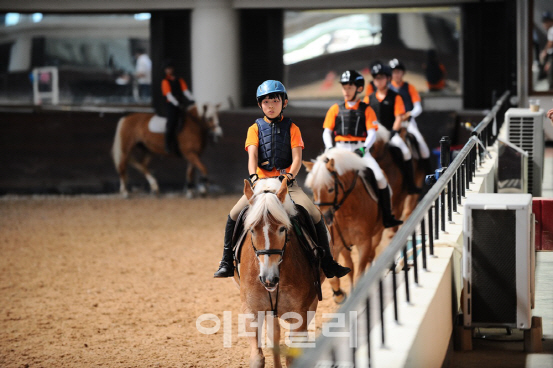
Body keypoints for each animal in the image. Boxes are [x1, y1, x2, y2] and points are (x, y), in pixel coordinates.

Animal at [235, 177, 322, 366]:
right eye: (252, 229)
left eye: (282, 228)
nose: (269, 279)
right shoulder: (251, 310)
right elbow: (258, 358)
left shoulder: (300, 313)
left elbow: (293, 356)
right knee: (274, 336)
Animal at [302, 148, 384, 304]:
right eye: (313, 190)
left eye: (330, 189)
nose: (325, 217)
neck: (348, 212)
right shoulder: (336, 246)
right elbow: (335, 276)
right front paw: (340, 295)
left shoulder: (364, 243)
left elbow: (360, 272)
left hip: (377, 233)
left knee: (372, 254)